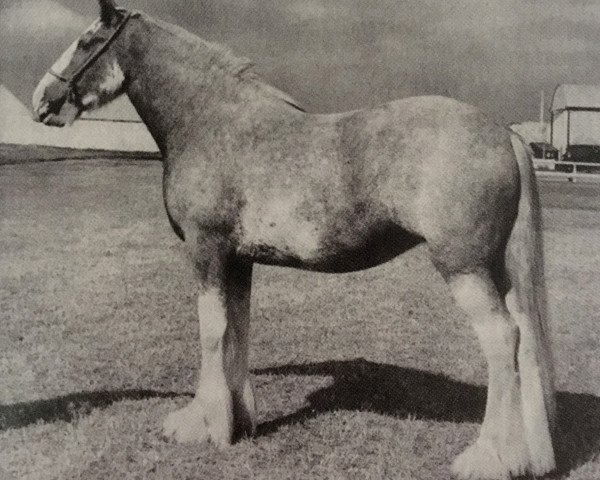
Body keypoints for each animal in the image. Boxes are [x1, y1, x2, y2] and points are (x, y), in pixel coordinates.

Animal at [32, 1, 556, 478]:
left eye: (86, 42)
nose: (41, 100)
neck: (214, 123)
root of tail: (503, 133)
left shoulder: (206, 251)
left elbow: (210, 330)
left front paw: (203, 427)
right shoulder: (238, 260)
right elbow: (237, 328)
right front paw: (239, 421)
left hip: (463, 267)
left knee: (501, 338)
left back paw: (487, 458)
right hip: (497, 269)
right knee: (523, 337)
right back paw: (526, 456)